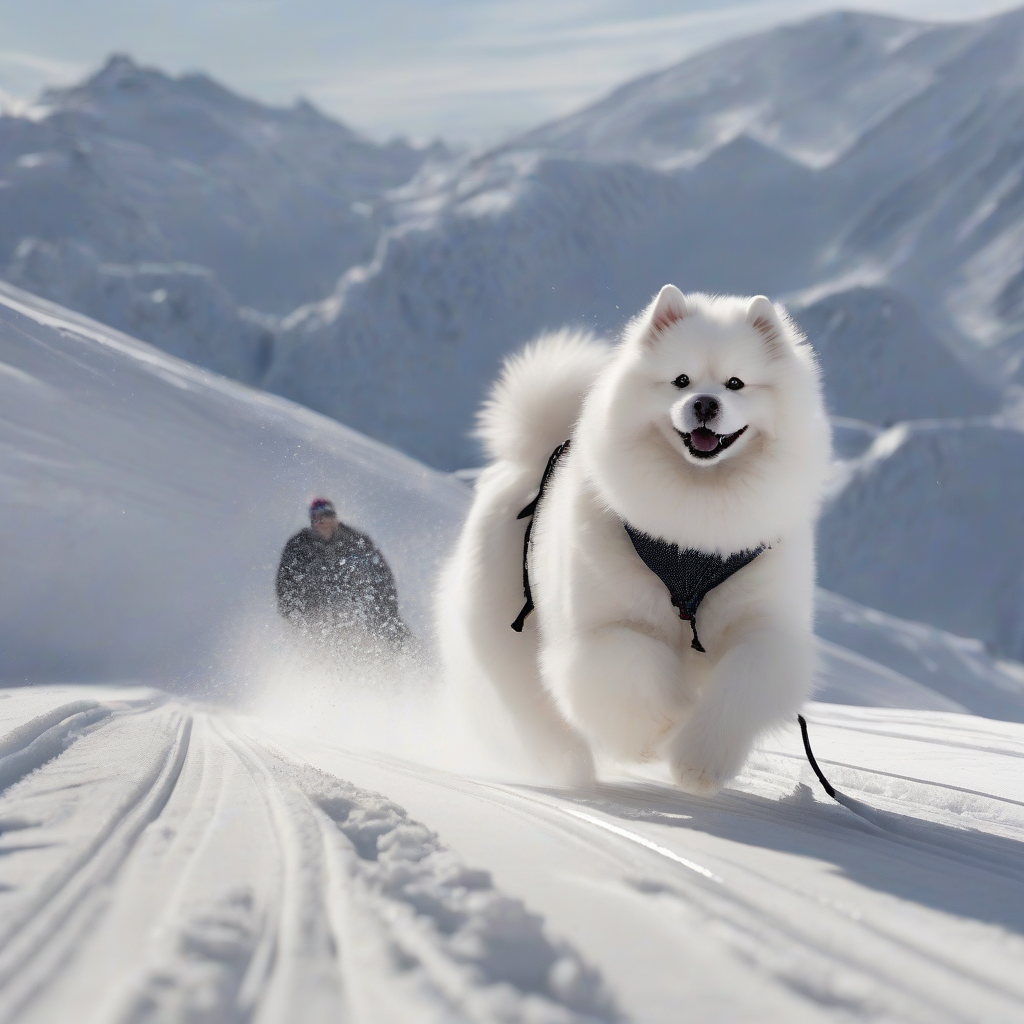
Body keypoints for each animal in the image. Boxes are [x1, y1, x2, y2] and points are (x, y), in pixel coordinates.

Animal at [440, 286, 831, 790]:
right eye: (681, 380)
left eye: (736, 383)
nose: (705, 404)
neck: (694, 526)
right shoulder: (601, 632)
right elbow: (635, 667)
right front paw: (664, 727)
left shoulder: (767, 629)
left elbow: (741, 683)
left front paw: (698, 761)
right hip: (512, 641)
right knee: (539, 718)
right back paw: (572, 768)